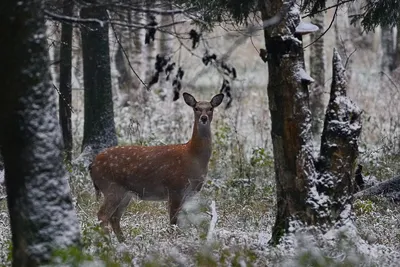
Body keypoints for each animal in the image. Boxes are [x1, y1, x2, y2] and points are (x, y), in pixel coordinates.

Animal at [88, 92, 223, 243]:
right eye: (196, 108)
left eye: (211, 108)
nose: (204, 118)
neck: (192, 156)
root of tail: (92, 165)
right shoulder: (174, 187)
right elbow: (173, 221)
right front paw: (173, 241)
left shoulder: (188, 193)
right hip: (110, 186)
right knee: (102, 215)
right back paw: (109, 243)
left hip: (124, 192)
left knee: (114, 217)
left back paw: (123, 243)